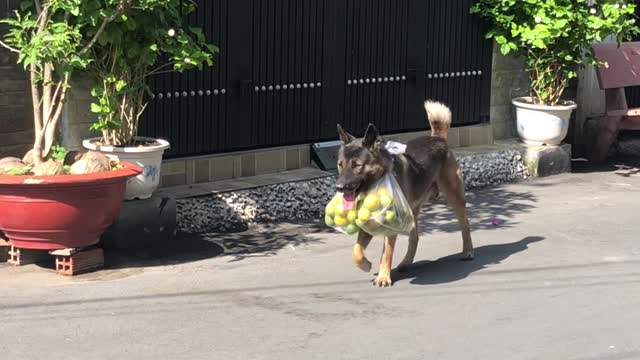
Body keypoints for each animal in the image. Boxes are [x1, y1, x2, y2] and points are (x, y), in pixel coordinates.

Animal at [338, 100, 472, 286]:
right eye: (340, 165)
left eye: (357, 165)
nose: (339, 187)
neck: (378, 182)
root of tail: (437, 138)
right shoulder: (368, 223)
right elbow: (356, 251)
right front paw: (365, 265)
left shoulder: (391, 226)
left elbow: (386, 253)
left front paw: (383, 277)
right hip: (412, 212)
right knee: (414, 238)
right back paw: (406, 263)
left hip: (454, 198)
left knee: (465, 224)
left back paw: (468, 251)